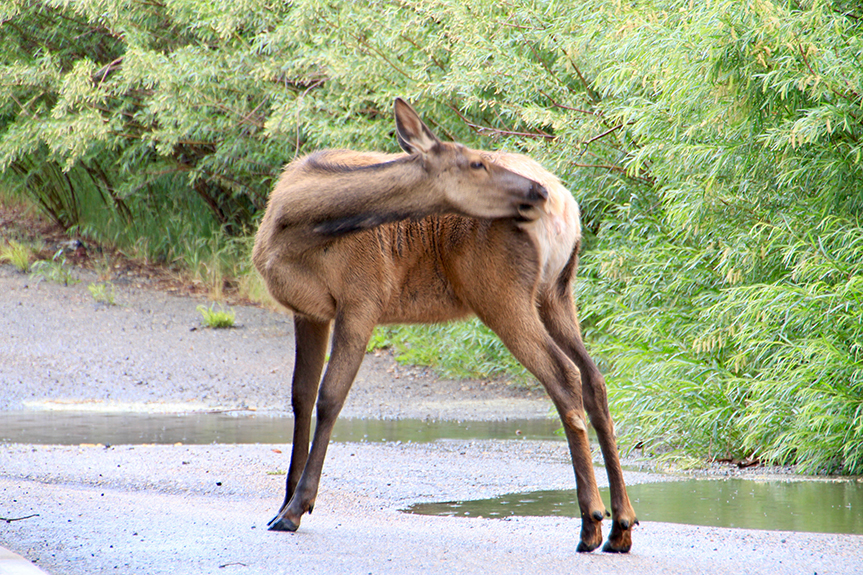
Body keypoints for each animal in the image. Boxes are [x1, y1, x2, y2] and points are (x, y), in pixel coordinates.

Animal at [253, 99, 636, 552]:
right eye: (476, 163)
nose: (536, 191)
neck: (296, 226)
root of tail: (567, 210)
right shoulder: (308, 311)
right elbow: (301, 395)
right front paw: (284, 503)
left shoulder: (362, 299)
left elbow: (330, 397)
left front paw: (296, 508)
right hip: (556, 292)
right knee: (594, 378)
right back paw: (621, 526)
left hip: (500, 293)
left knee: (563, 376)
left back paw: (591, 521)